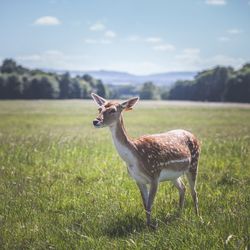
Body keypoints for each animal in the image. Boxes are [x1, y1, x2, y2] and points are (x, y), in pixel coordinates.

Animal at [91, 93, 200, 228]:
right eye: (99, 109)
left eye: (113, 110)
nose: (95, 121)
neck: (135, 156)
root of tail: (194, 136)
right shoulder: (138, 179)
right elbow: (145, 205)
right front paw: (148, 225)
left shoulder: (154, 175)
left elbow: (150, 204)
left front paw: (151, 227)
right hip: (174, 175)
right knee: (183, 188)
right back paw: (179, 215)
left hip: (194, 163)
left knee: (194, 192)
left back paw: (197, 216)